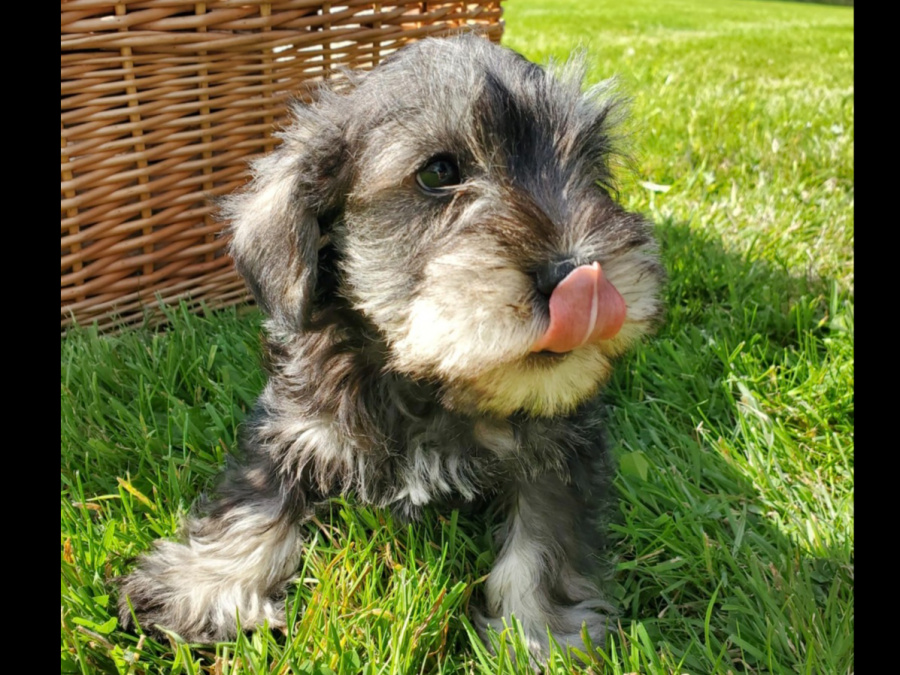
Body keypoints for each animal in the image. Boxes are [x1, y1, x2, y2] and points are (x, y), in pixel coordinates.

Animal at [118, 33, 668, 660]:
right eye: (439, 172)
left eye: (592, 169)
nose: (580, 274)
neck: (426, 384)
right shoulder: (292, 424)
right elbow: (254, 502)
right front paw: (204, 587)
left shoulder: (558, 450)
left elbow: (541, 546)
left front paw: (537, 635)